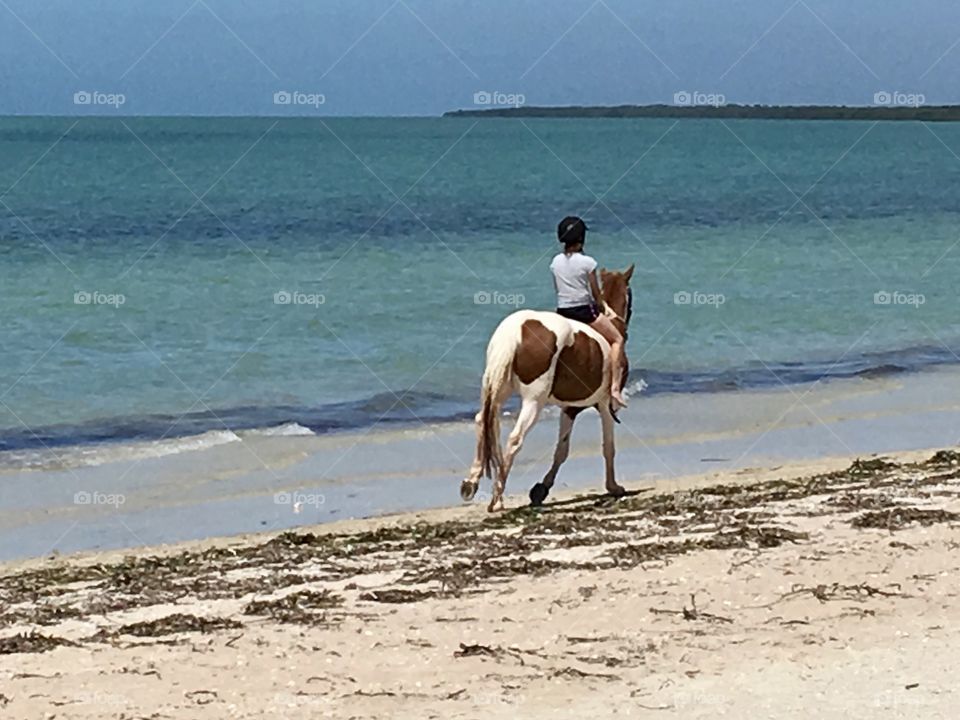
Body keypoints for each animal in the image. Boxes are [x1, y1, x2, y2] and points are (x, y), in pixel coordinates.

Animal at [462, 266, 632, 512]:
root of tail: (516, 331)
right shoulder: (604, 405)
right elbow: (606, 447)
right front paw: (613, 486)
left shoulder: (569, 408)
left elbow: (562, 450)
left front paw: (541, 489)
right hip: (534, 402)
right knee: (515, 438)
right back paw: (497, 497)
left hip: (497, 390)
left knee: (483, 421)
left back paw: (471, 483)